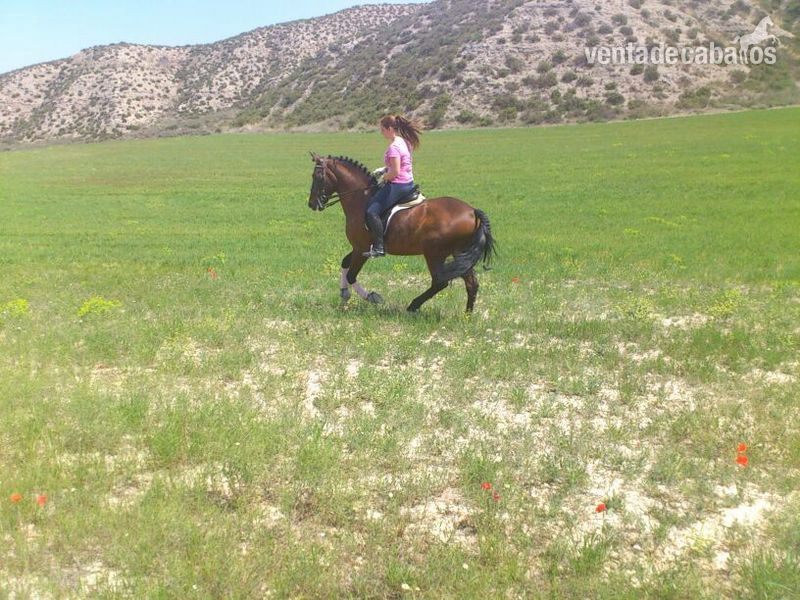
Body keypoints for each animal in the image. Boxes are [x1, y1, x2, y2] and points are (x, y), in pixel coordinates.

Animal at [307, 153, 496, 313]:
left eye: (317, 177)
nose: (311, 204)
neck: (361, 198)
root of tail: (472, 211)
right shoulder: (358, 248)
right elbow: (345, 263)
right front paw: (344, 292)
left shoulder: (362, 249)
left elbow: (352, 275)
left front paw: (373, 297)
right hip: (459, 254)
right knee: (471, 283)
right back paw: (467, 315)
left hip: (435, 253)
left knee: (440, 281)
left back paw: (413, 306)